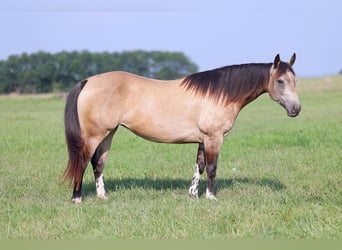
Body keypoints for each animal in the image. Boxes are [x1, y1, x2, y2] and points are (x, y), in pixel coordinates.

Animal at [62, 53, 300, 203]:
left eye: (295, 80)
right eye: (280, 81)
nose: (296, 109)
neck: (219, 94)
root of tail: (87, 81)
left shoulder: (203, 139)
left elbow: (199, 167)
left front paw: (193, 195)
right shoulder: (214, 138)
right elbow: (212, 168)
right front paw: (211, 197)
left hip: (108, 134)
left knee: (98, 164)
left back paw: (102, 196)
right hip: (94, 136)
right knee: (83, 163)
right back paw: (77, 198)